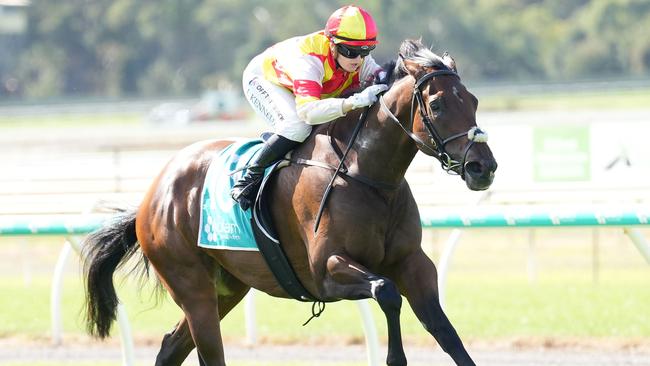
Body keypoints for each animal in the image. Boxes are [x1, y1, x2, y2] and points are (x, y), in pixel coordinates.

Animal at [81, 38, 496, 364]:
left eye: (474, 100)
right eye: (437, 105)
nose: (483, 167)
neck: (366, 175)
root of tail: (153, 195)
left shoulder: (411, 262)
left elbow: (444, 330)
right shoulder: (327, 269)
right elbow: (386, 292)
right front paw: (395, 357)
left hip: (227, 287)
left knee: (171, 346)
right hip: (191, 285)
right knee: (207, 350)